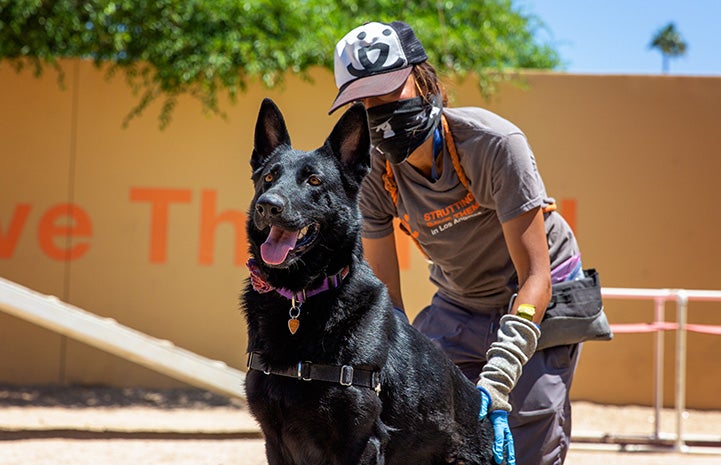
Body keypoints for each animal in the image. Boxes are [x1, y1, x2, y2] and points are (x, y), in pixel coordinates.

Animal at [242, 99, 496, 464]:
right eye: (269, 177)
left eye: (314, 181)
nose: (268, 205)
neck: (300, 298)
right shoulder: (274, 443)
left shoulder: (361, 442)